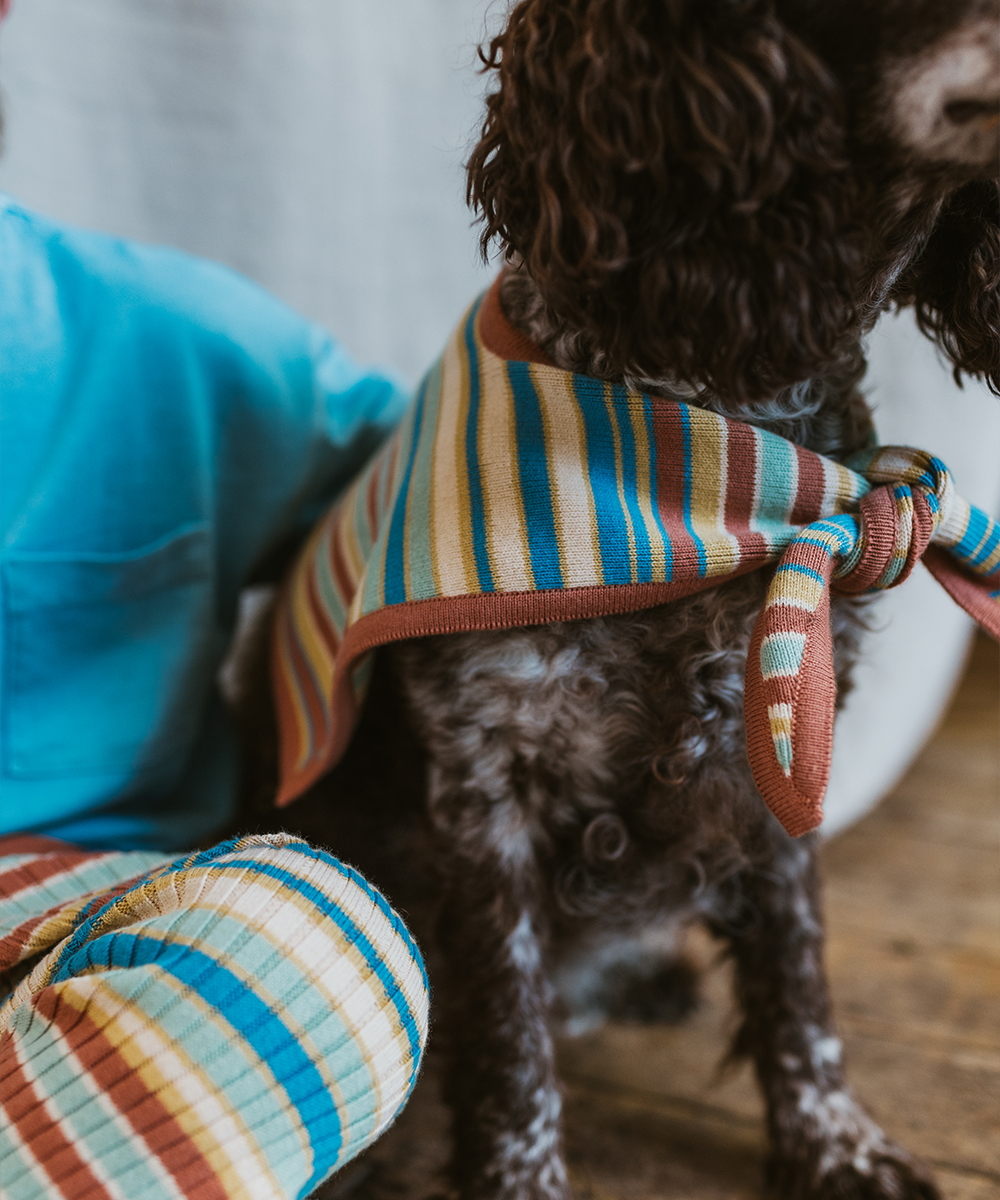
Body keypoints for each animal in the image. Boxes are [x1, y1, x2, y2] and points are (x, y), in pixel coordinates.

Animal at [237, 2, 993, 1200]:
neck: (706, 457)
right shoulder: (482, 786)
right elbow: (510, 1039)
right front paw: (519, 1176)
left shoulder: (781, 735)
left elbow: (798, 978)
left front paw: (835, 1142)